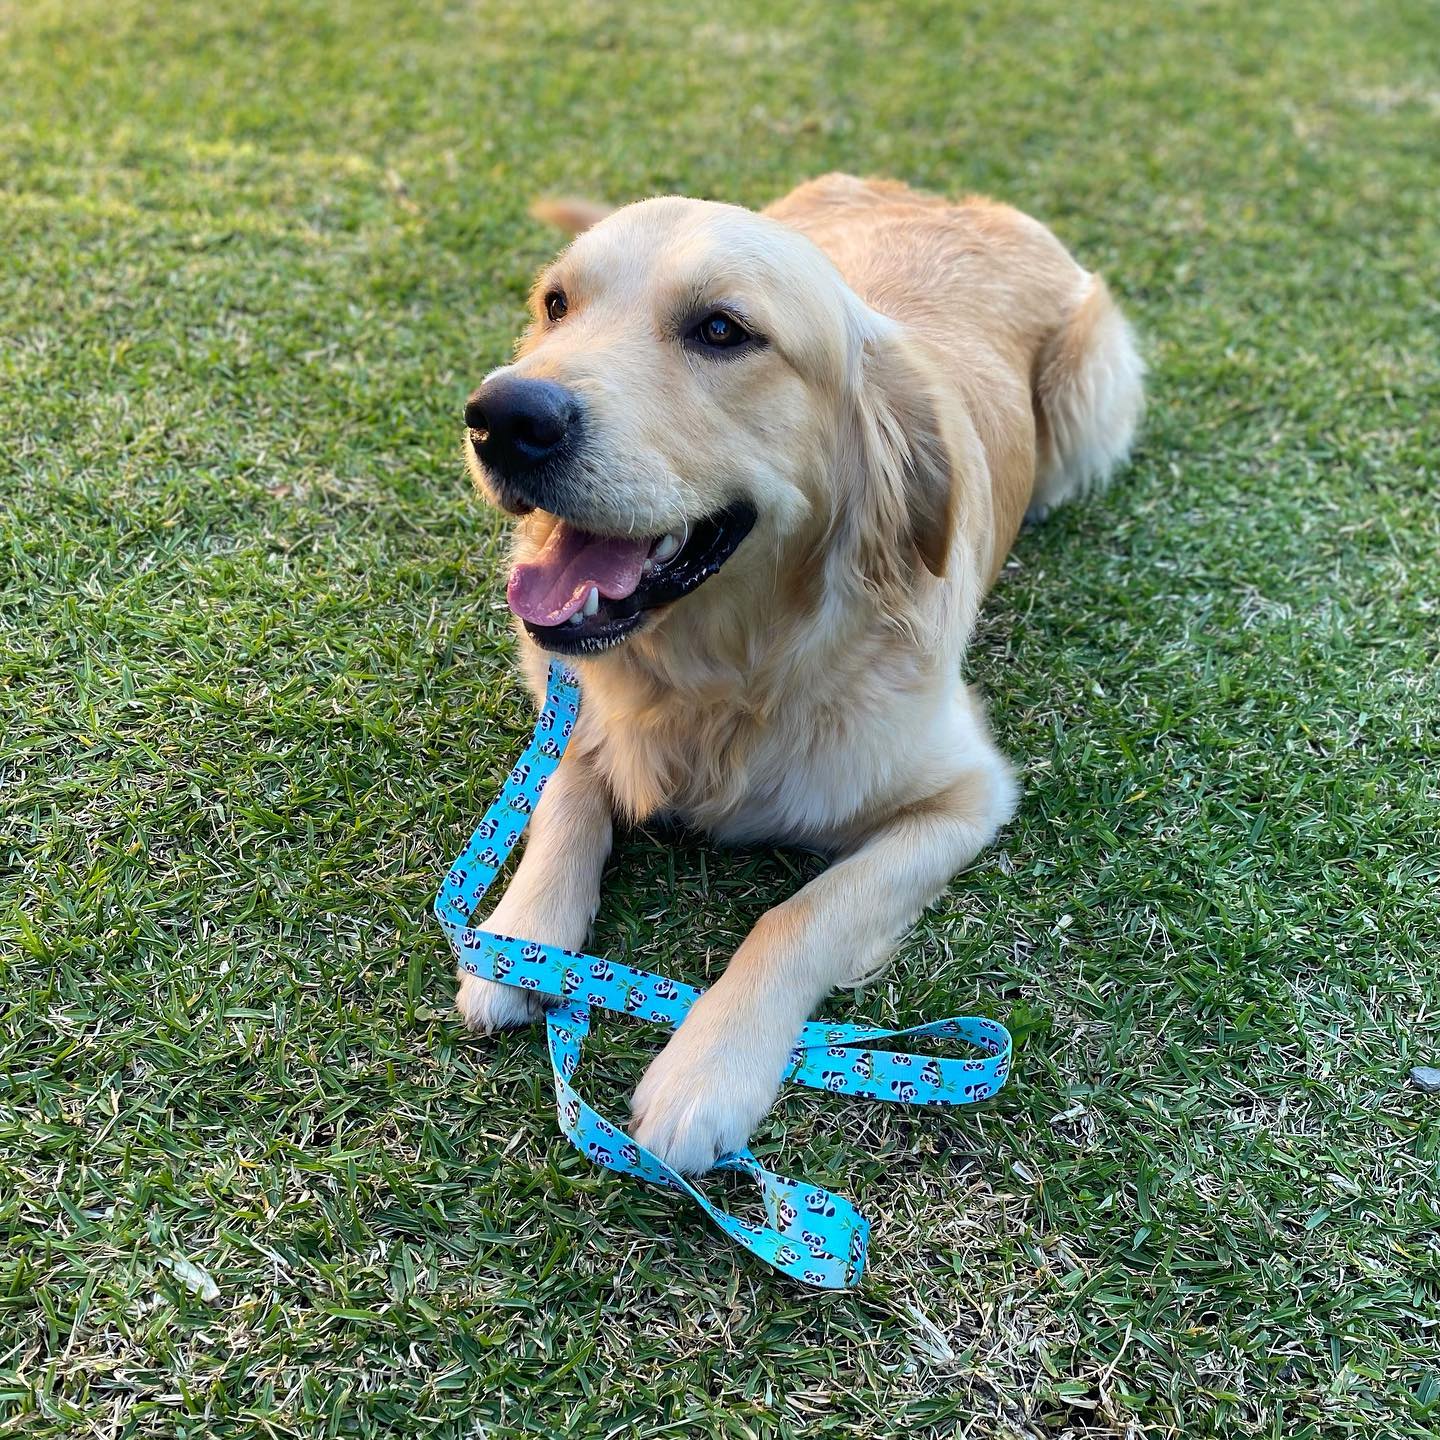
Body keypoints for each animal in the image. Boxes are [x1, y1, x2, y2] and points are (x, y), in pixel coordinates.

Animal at [455, 174, 1140, 1175]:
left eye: (722, 330)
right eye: (555, 306)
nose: (501, 416)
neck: (723, 679)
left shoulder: (966, 796)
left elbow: (799, 916)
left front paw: (707, 1071)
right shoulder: (571, 694)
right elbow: (566, 794)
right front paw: (519, 936)